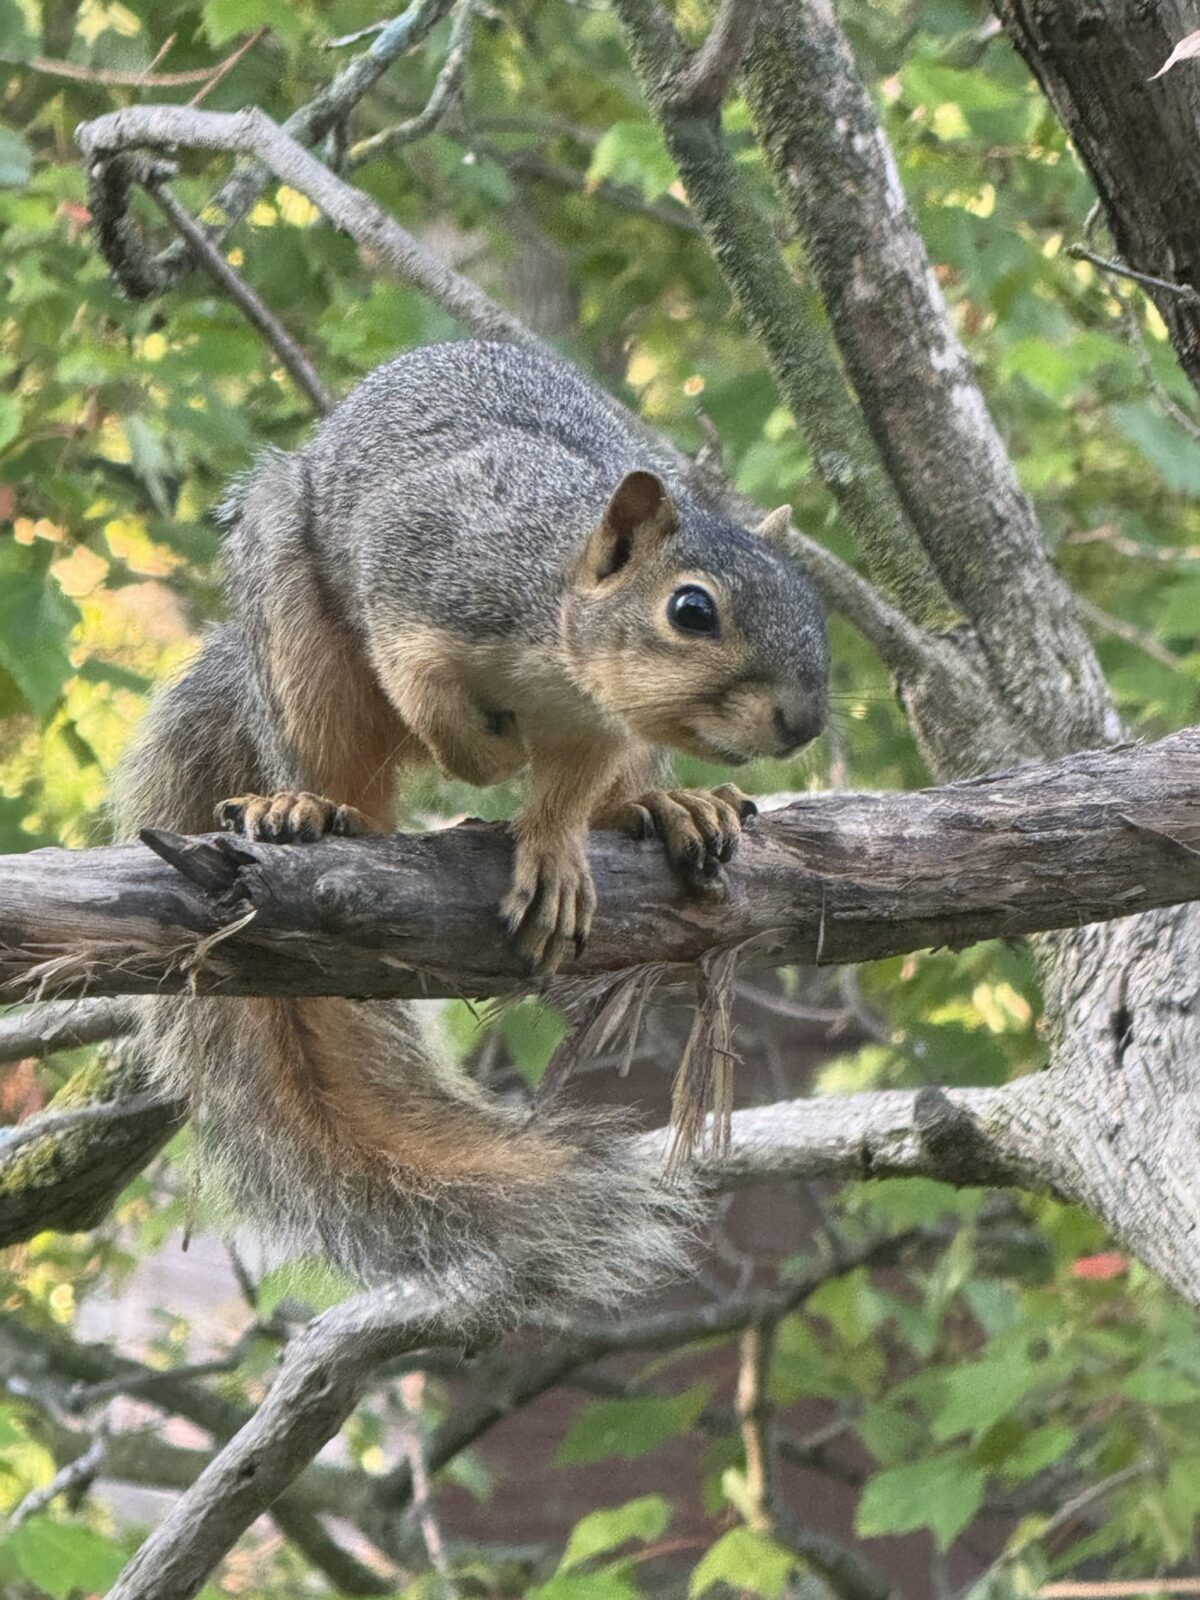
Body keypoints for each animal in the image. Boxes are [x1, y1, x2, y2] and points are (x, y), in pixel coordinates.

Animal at [115, 340, 825, 1312]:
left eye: (814, 609)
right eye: (691, 610)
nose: (805, 721)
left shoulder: (598, 727)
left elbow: (566, 796)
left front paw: (555, 853)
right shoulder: (422, 578)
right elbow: (431, 701)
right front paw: (484, 757)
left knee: (616, 794)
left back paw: (664, 806)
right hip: (296, 633)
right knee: (346, 768)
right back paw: (303, 805)